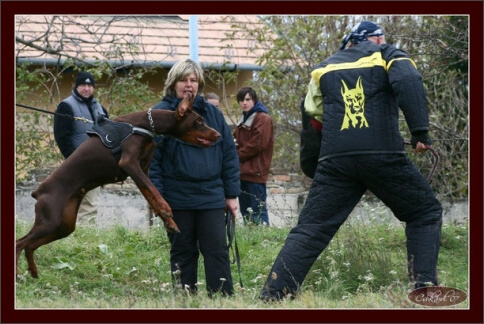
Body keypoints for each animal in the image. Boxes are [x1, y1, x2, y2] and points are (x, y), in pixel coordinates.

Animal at [14, 93, 219, 278]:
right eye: (199, 121)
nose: (218, 134)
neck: (145, 124)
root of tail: (38, 191)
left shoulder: (142, 170)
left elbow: (151, 195)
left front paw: (169, 222)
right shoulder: (129, 163)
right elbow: (155, 193)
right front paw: (167, 211)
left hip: (64, 224)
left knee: (30, 245)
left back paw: (33, 272)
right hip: (49, 219)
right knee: (19, 243)